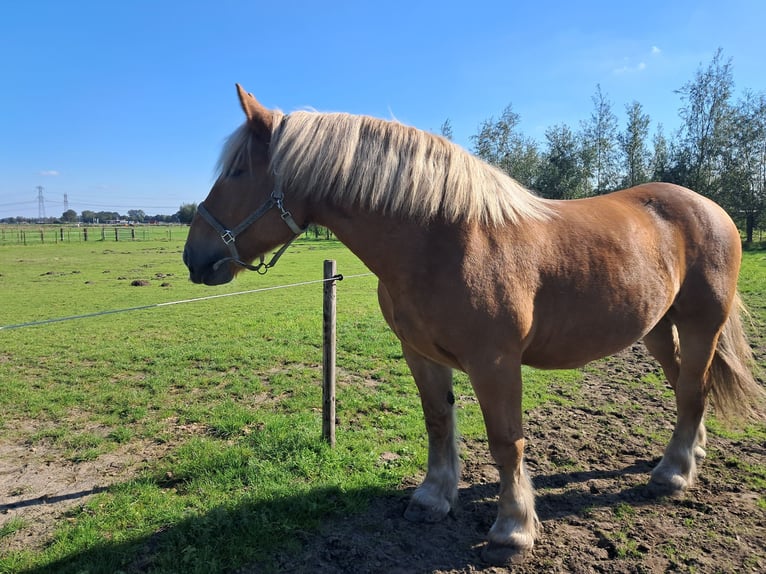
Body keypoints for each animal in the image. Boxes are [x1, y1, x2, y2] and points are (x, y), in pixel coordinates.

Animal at [183, 85, 764, 568]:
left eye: (238, 171)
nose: (195, 257)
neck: (442, 240)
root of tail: (710, 207)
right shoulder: (420, 354)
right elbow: (439, 423)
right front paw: (432, 499)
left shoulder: (495, 363)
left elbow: (507, 443)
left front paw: (512, 530)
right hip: (657, 328)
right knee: (688, 386)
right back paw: (691, 454)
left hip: (702, 323)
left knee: (692, 390)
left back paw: (672, 474)